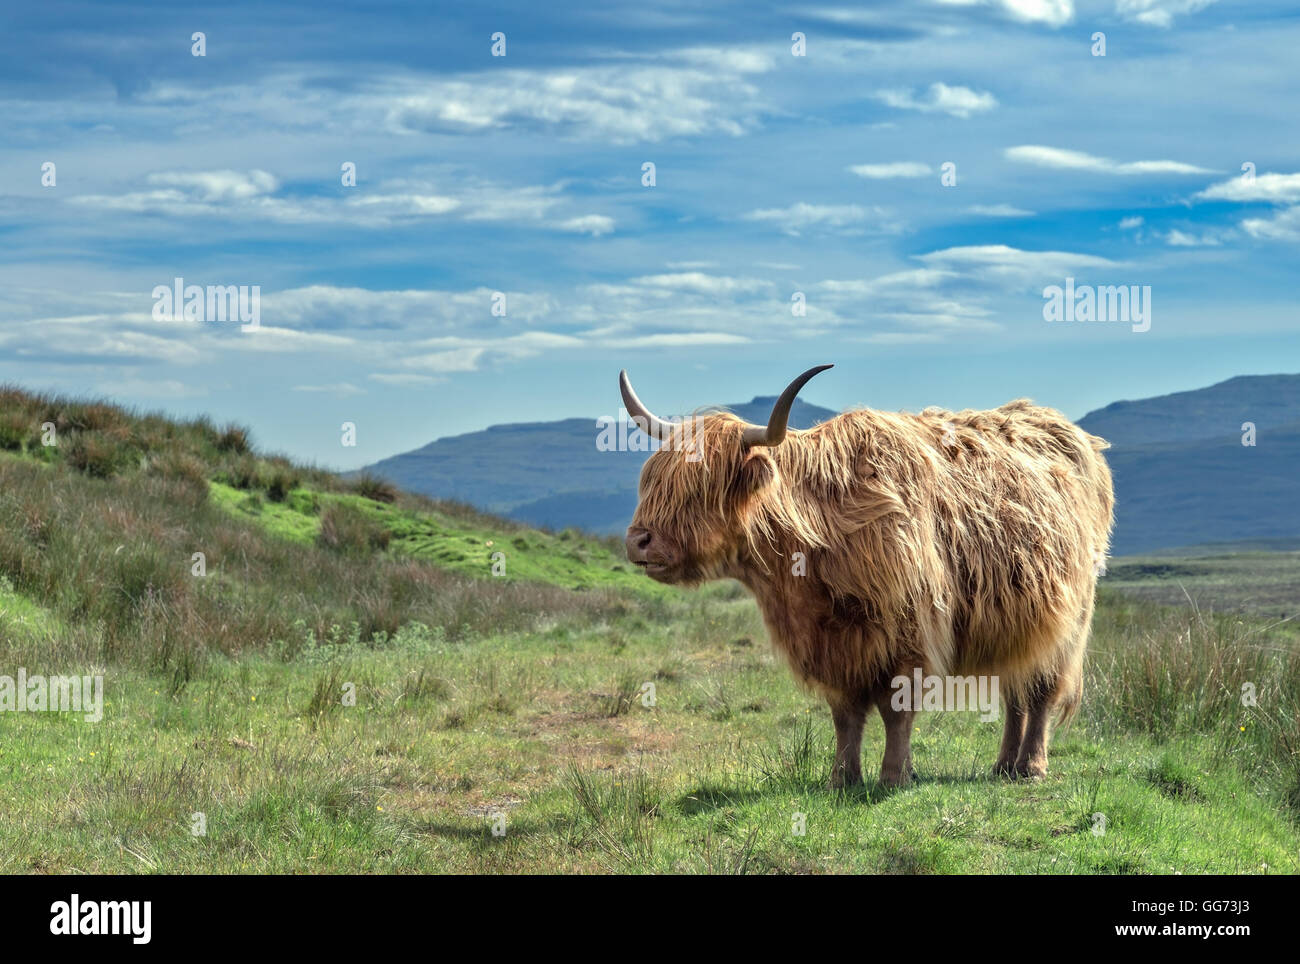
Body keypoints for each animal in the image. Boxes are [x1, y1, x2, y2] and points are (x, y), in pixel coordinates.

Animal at [620, 365, 1114, 788]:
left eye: (699, 487)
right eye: (651, 481)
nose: (638, 541)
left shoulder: (909, 631)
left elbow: (896, 710)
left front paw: (894, 776)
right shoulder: (834, 646)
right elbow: (845, 715)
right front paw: (843, 778)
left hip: (1070, 621)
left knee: (1042, 690)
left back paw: (1031, 766)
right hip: (1016, 623)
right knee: (1015, 689)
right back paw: (1003, 765)